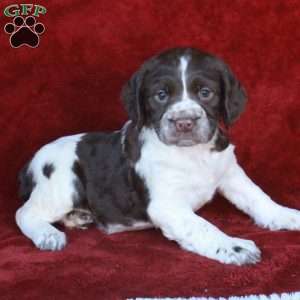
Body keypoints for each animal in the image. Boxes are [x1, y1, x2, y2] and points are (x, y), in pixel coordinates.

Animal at [15, 47, 300, 264]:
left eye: (205, 93)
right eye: (160, 95)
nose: (184, 122)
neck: (191, 153)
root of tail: (29, 164)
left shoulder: (230, 172)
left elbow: (257, 197)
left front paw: (285, 215)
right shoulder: (167, 205)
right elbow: (203, 226)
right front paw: (234, 247)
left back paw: (78, 216)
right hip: (62, 185)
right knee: (24, 213)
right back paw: (48, 234)